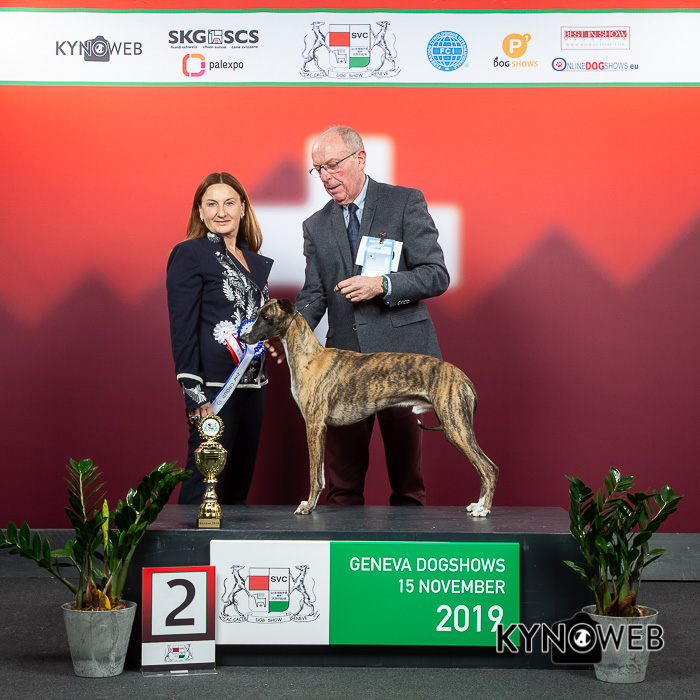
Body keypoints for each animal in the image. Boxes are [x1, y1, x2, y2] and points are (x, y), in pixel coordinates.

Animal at [241, 298, 498, 517]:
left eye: (266, 316)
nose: (243, 338)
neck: (310, 357)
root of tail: (463, 377)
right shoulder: (320, 428)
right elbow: (321, 474)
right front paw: (309, 503)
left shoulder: (314, 425)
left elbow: (315, 475)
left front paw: (308, 507)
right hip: (457, 428)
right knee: (483, 467)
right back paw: (478, 505)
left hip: (456, 428)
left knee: (489, 468)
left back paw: (484, 509)